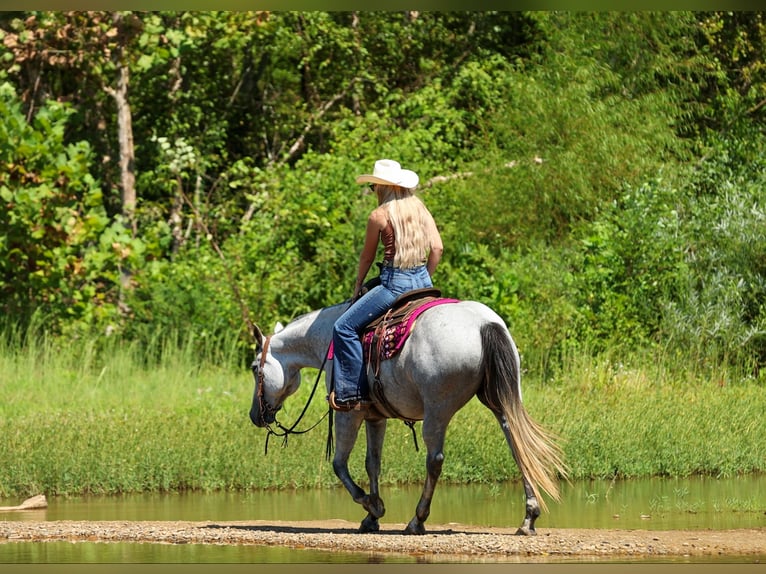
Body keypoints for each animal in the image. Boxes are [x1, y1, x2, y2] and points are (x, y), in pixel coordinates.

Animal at [249, 293, 568, 536]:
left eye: (254, 369)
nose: (255, 415)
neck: (328, 339)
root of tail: (484, 324)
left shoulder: (348, 413)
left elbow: (339, 464)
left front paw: (372, 505)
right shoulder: (374, 416)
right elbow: (372, 464)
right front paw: (371, 517)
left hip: (437, 410)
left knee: (434, 460)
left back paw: (417, 520)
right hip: (502, 402)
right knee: (518, 447)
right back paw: (528, 519)